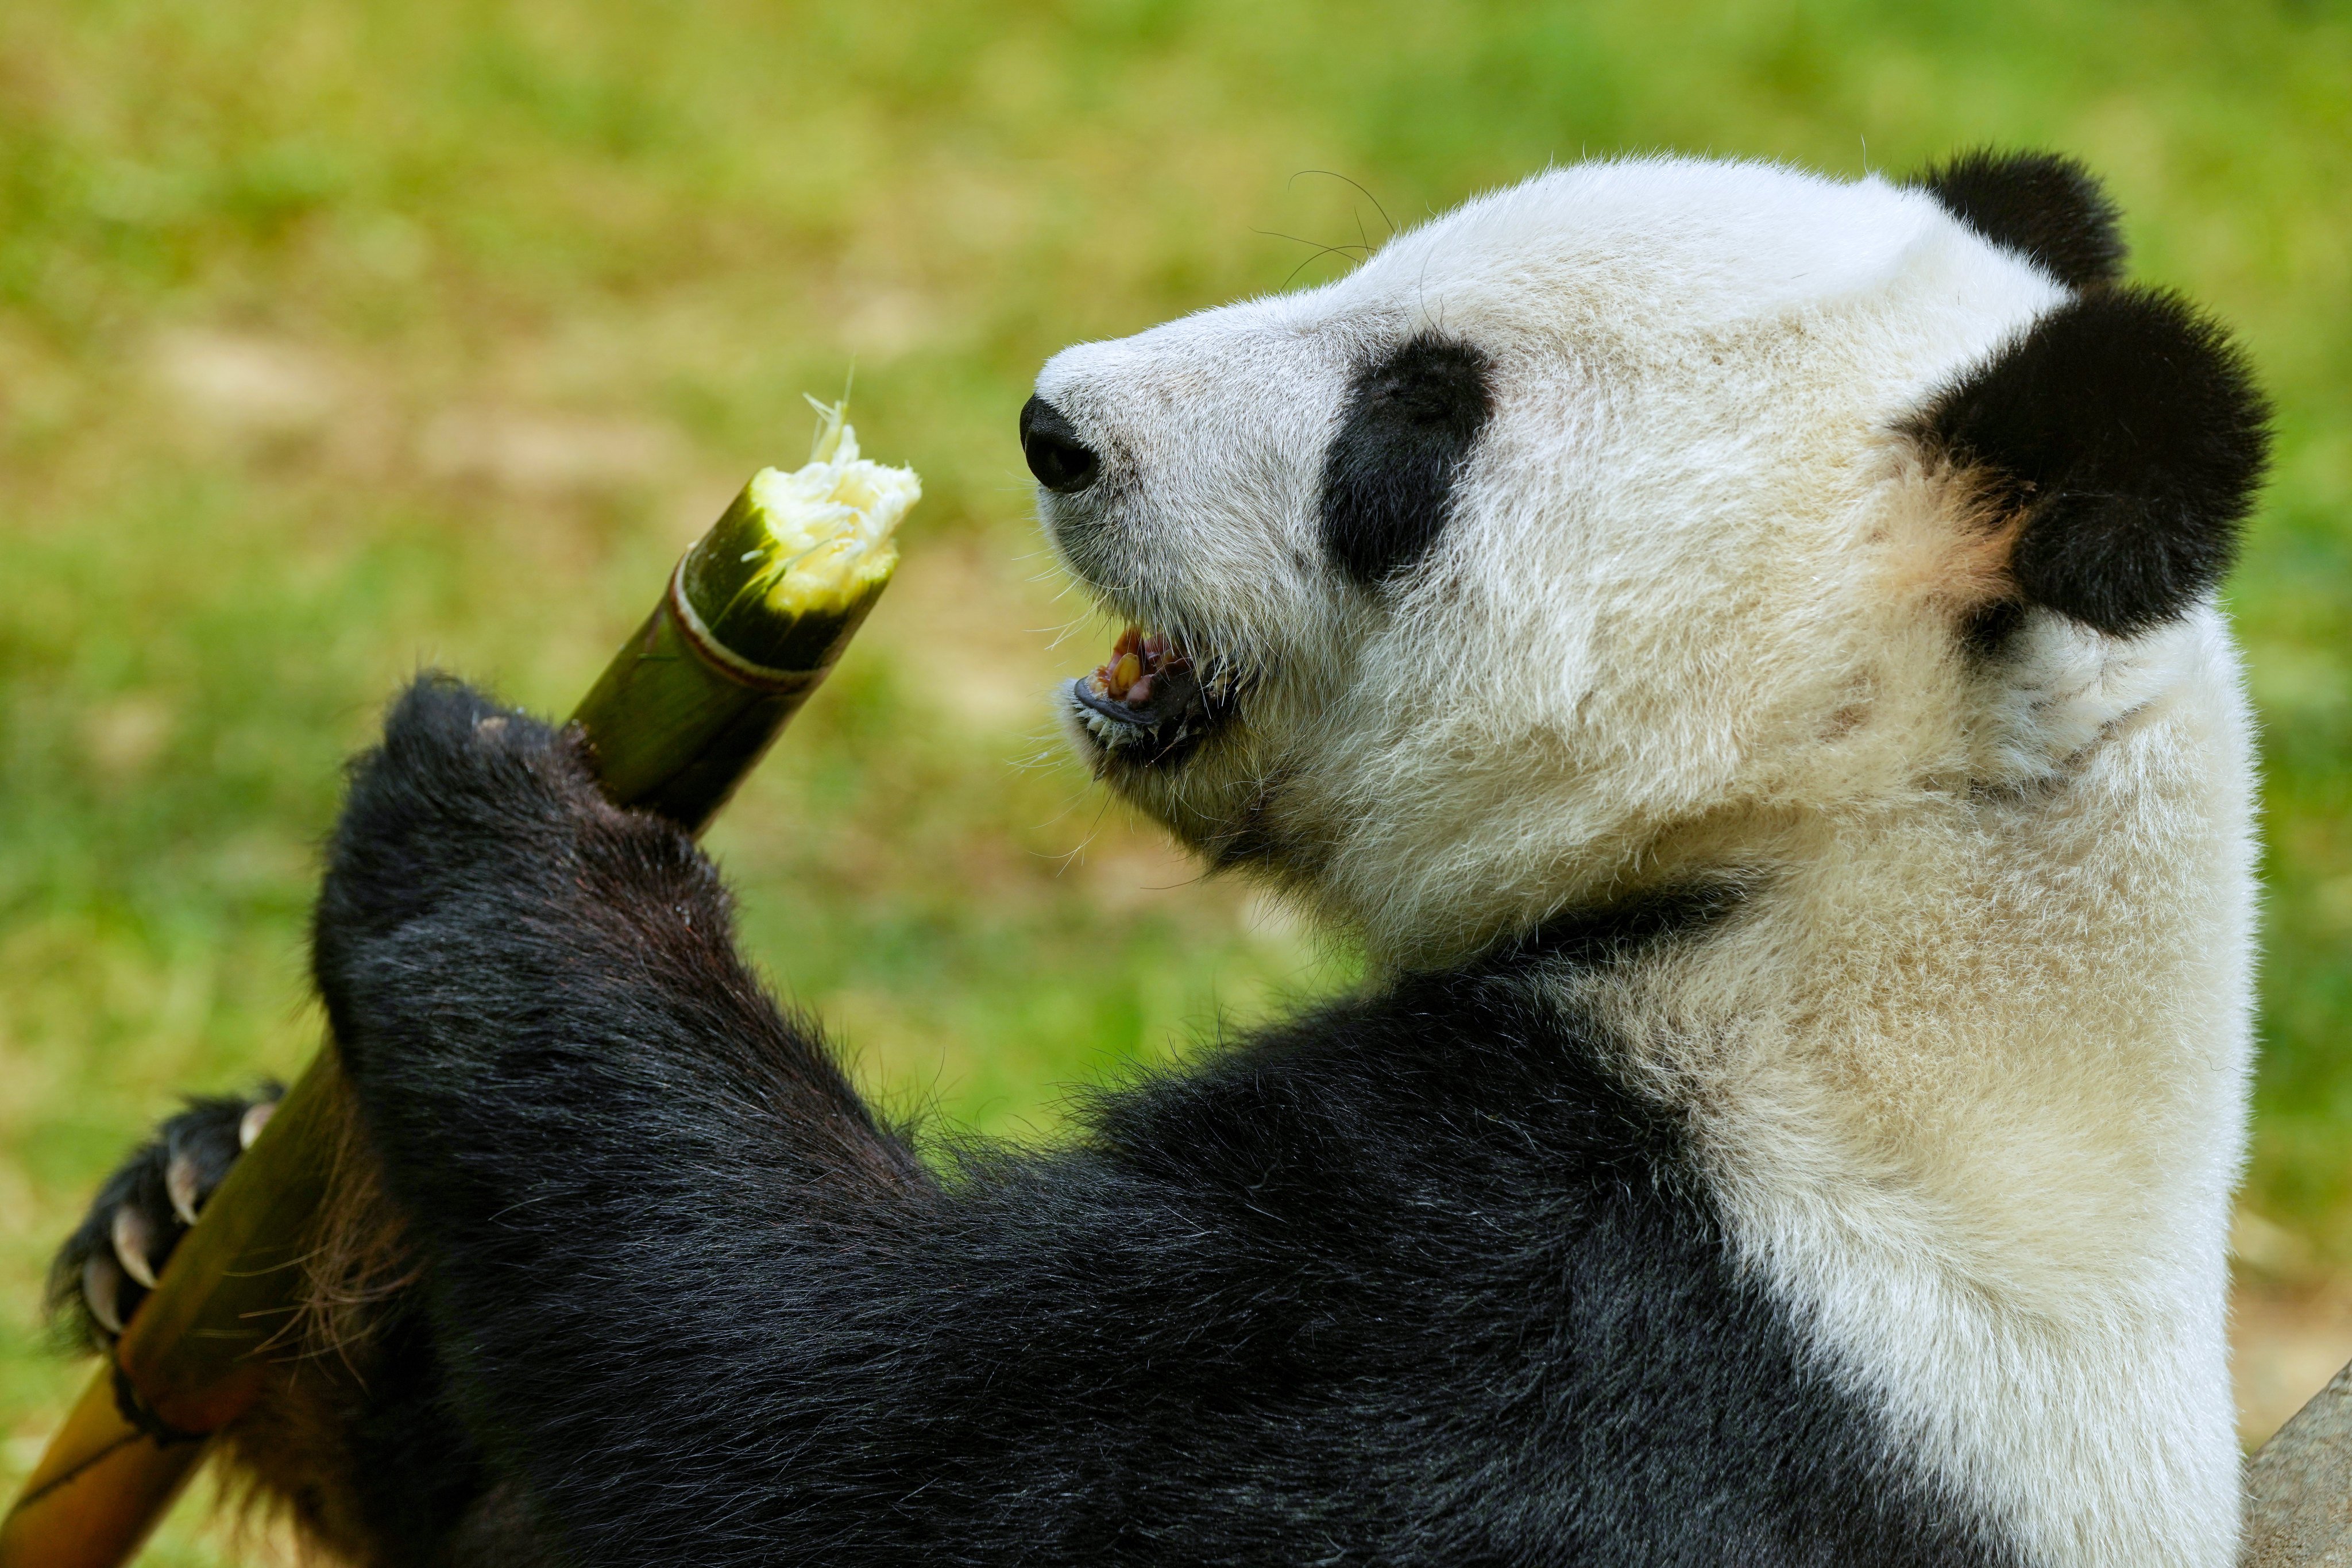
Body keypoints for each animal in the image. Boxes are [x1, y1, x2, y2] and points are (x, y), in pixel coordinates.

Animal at [55, 150, 2258, 1568]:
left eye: (1411, 428)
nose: (1055, 425)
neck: (1866, 853)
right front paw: (192, 1205)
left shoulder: (1629, 1316)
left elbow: (841, 1436)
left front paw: (503, 830)